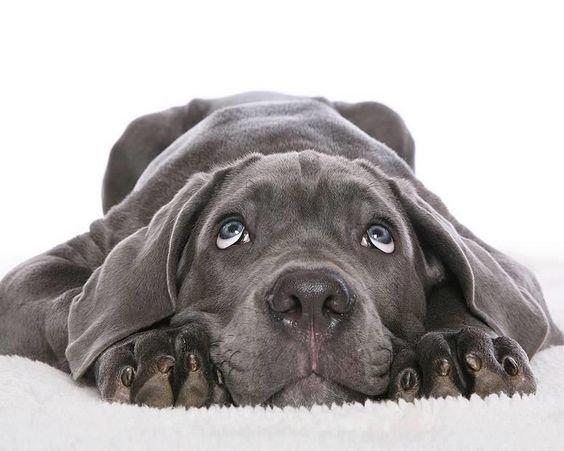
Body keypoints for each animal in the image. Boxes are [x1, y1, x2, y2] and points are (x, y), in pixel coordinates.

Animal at [1, 91, 564, 406]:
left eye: (380, 237)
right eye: (230, 231)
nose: (311, 298)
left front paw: (459, 346)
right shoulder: (48, 270)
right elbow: (80, 310)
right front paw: (157, 348)